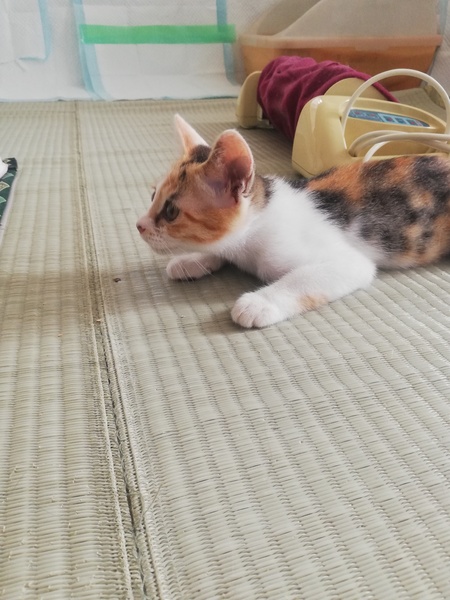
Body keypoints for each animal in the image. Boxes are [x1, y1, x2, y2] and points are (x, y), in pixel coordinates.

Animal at [136, 114, 450, 328]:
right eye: (152, 196)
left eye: (171, 212)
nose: (139, 225)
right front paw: (191, 260)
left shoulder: (349, 261)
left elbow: (304, 279)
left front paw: (259, 302)